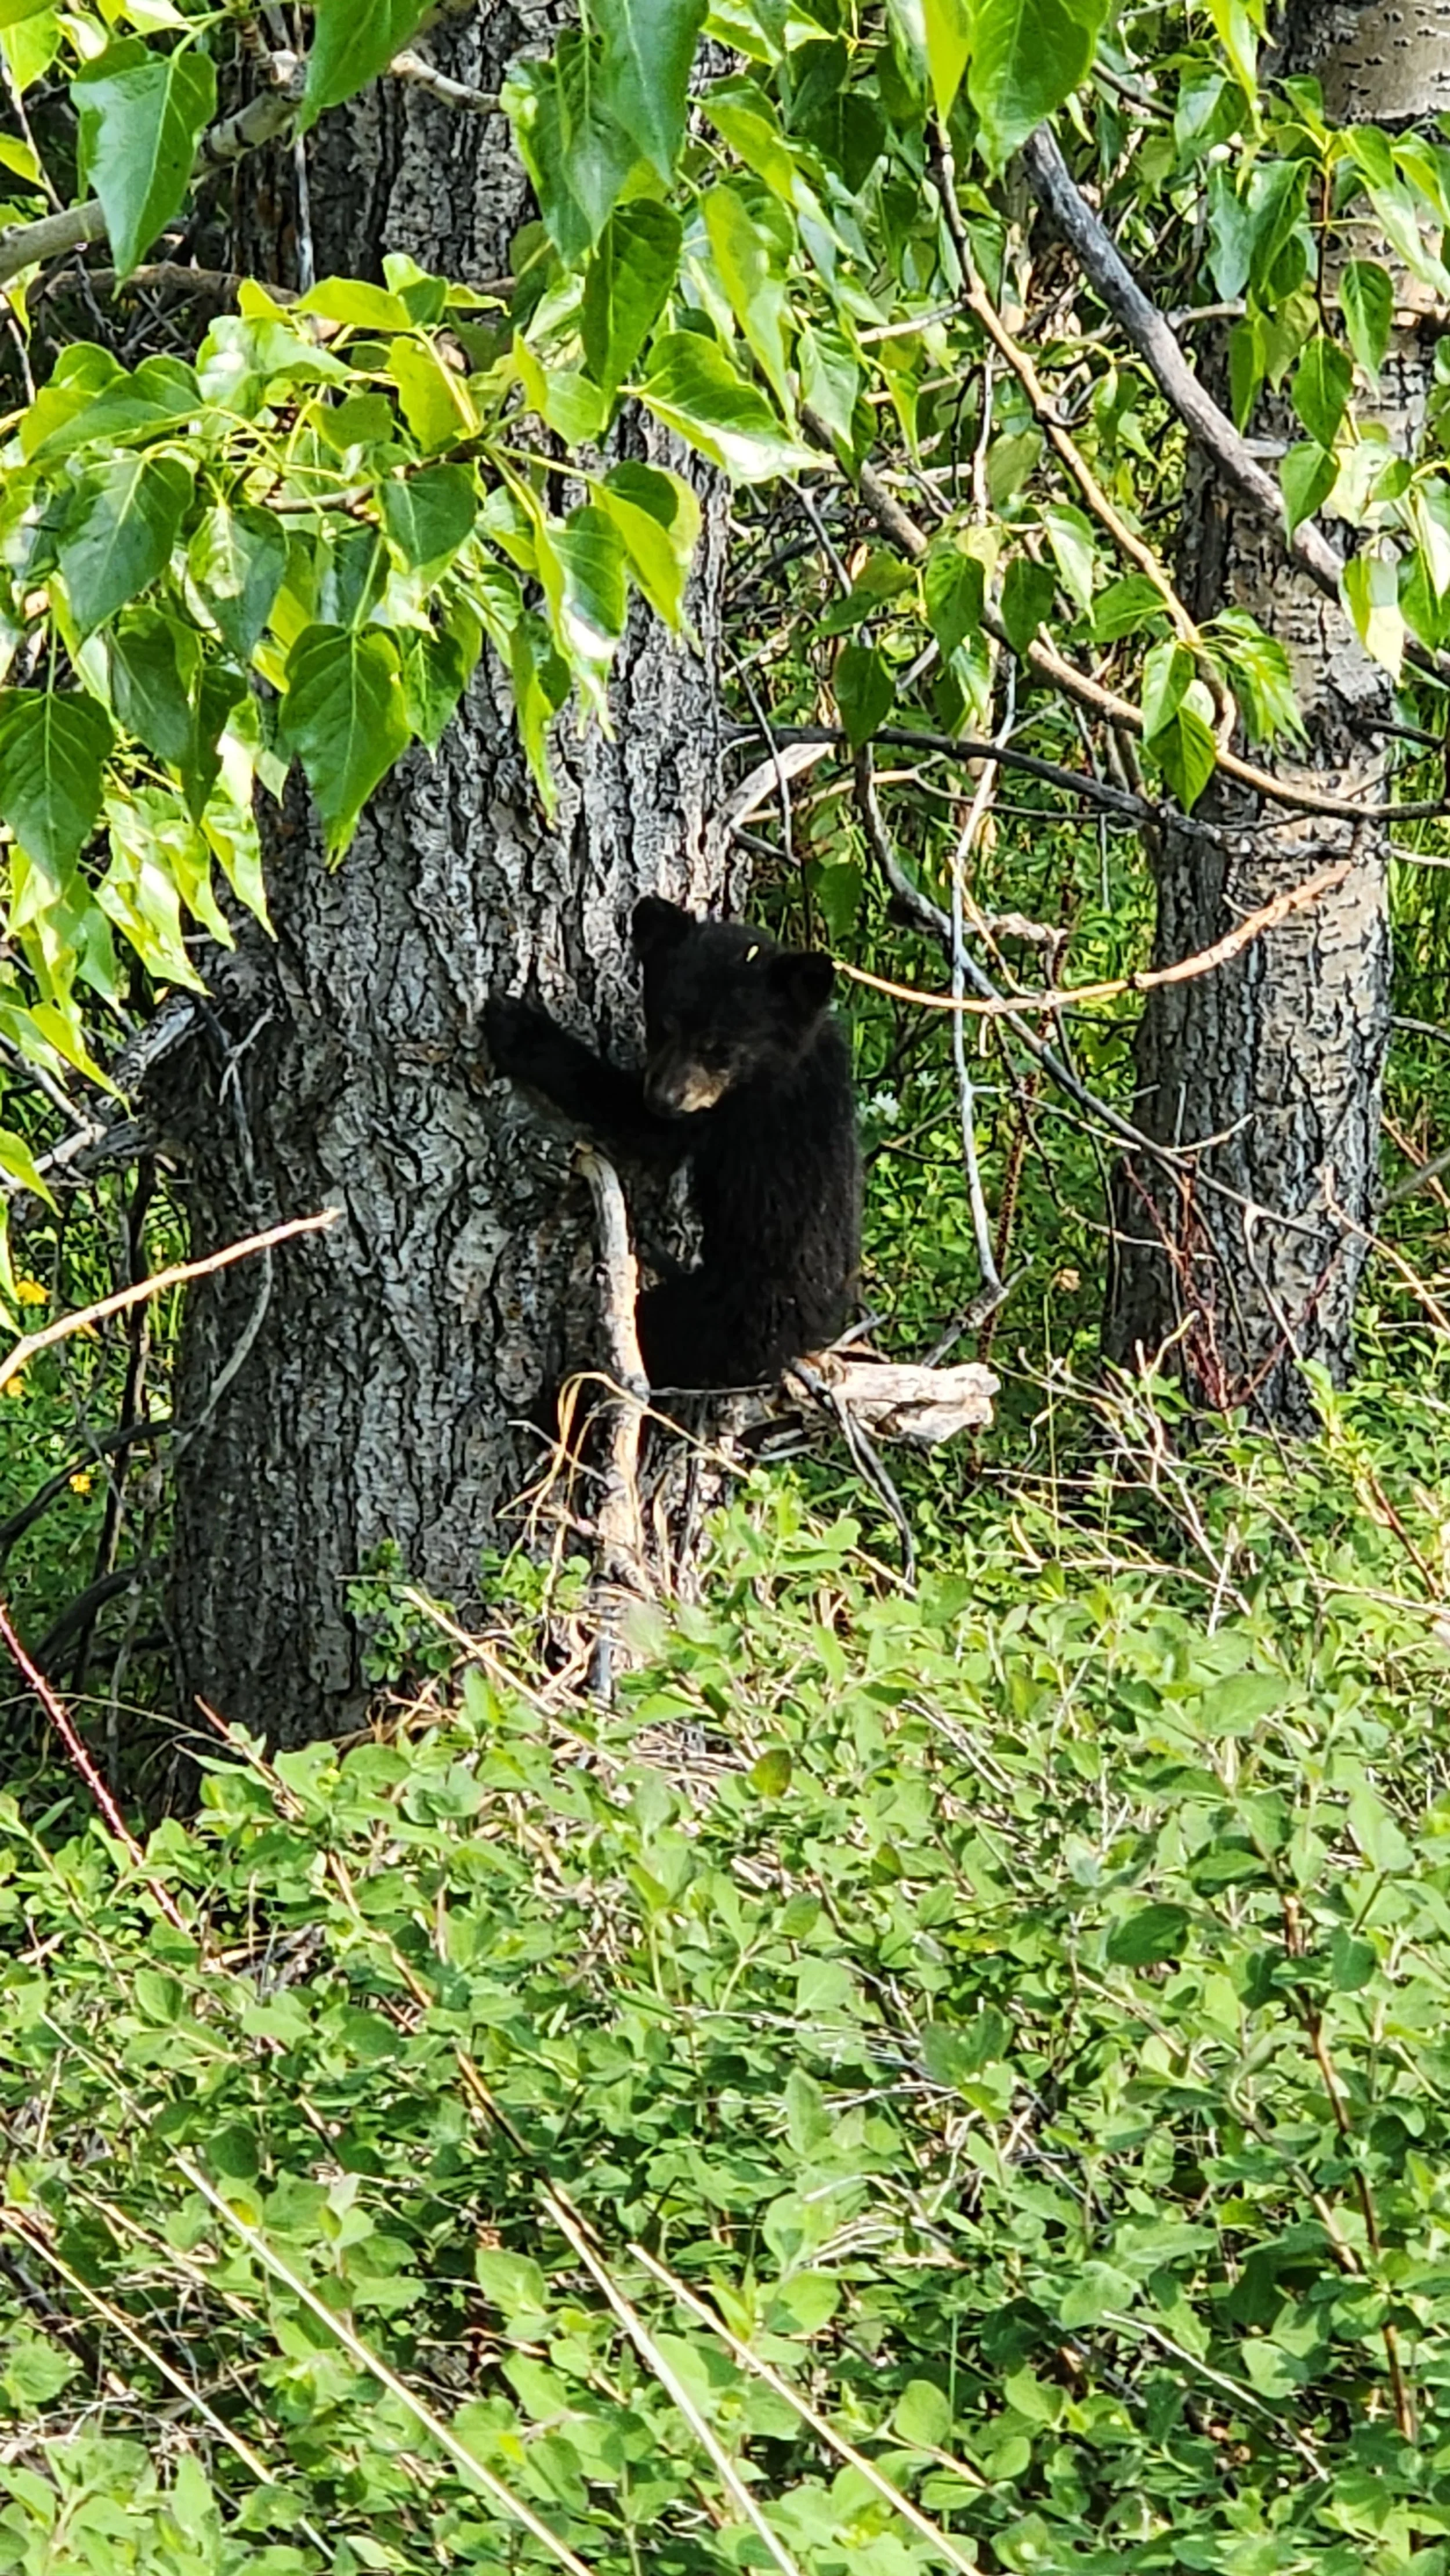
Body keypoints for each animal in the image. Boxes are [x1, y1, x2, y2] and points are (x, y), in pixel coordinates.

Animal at [484, 896, 861, 1391]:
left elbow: (641, 1126)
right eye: (663, 1023)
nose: (662, 1096)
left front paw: (520, 1030)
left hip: (715, 1322)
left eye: (719, 1048)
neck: (786, 1060)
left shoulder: (731, 1112)